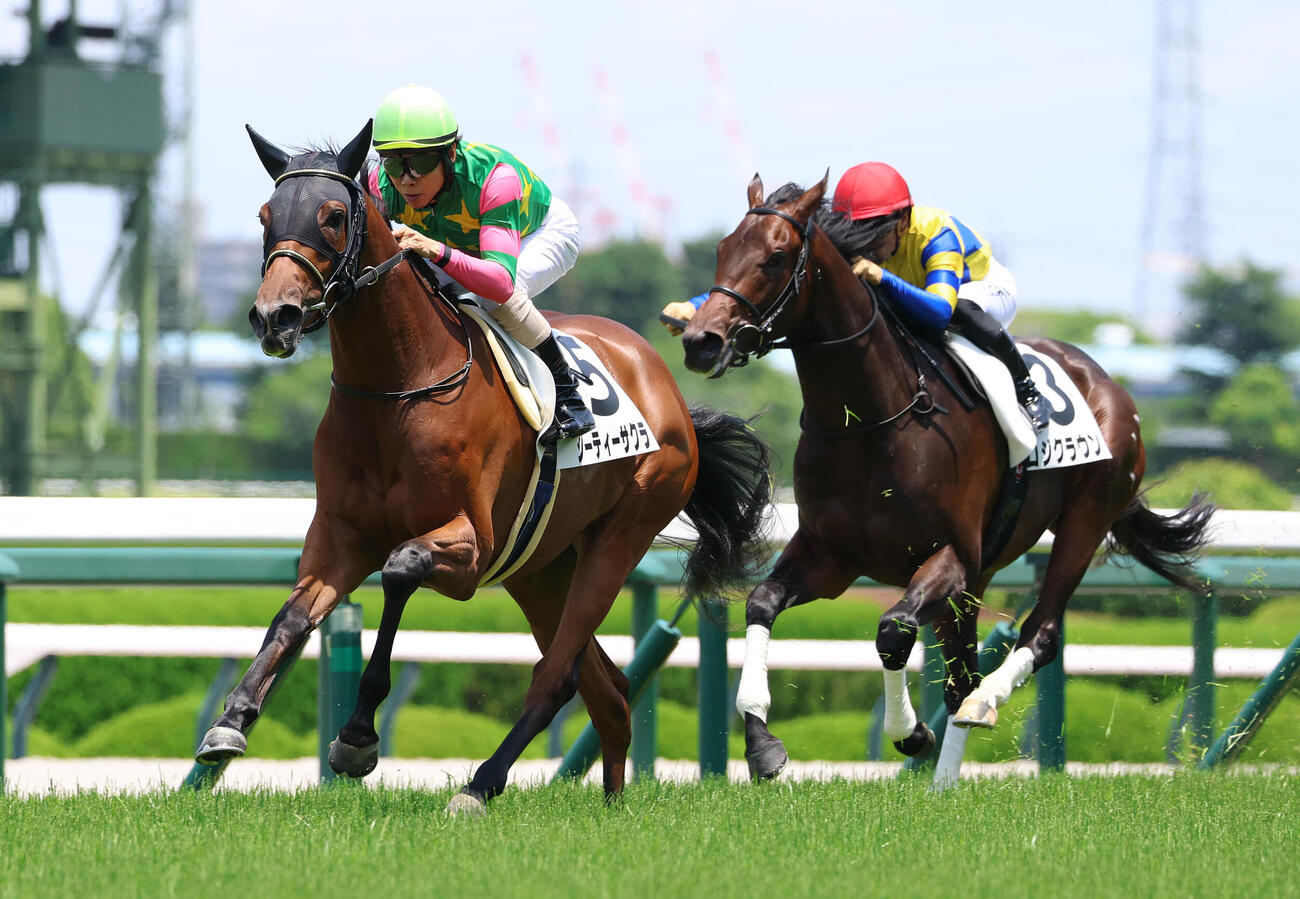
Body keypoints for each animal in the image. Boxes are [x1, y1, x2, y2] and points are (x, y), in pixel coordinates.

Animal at [193, 121, 773, 814]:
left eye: (332, 216)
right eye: (265, 216)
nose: (272, 316)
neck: (398, 386)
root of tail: (666, 387)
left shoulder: (470, 547)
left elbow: (401, 568)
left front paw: (357, 737)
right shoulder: (340, 535)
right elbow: (293, 615)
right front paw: (229, 723)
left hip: (619, 537)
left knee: (558, 677)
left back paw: (480, 784)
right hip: (540, 568)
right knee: (606, 688)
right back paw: (610, 803)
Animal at [680, 174, 1214, 782]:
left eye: (775, 256)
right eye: (722, 249)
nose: (701, 340)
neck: (869, 420)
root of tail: (1107, 382)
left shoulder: (950, 556)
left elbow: (893, 631)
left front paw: (910, 730)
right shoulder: (832, 555)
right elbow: (762, 601)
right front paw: (761, 741)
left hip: (1084, 517)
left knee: (1036, 636)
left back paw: (983, 707)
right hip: (979, 577)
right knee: (961, 676)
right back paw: (945, 782)